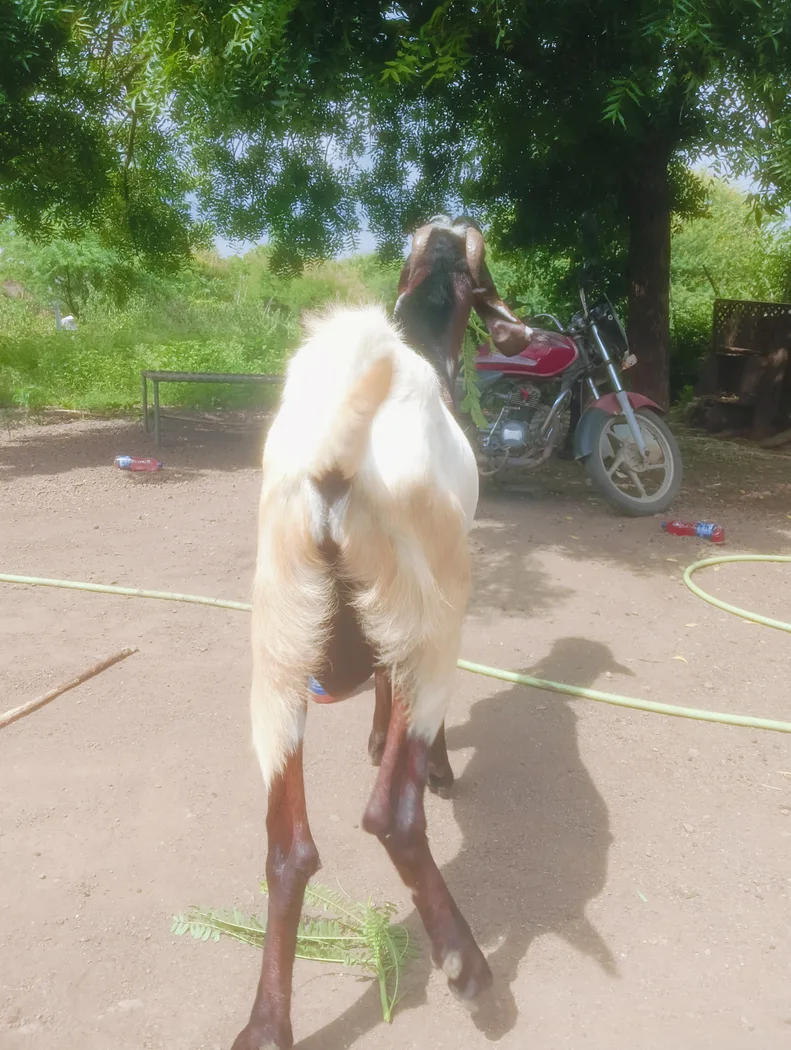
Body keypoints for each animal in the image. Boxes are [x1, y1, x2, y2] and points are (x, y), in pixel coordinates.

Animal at [232, 217, 530, 1050]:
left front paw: (371, 737)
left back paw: (266, 1024)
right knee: (389, 815)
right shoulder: (414, 627)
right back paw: (470, 972)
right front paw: (437, 766)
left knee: (288, 849)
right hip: (432, 612)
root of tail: (333, 464)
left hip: (278, 651)